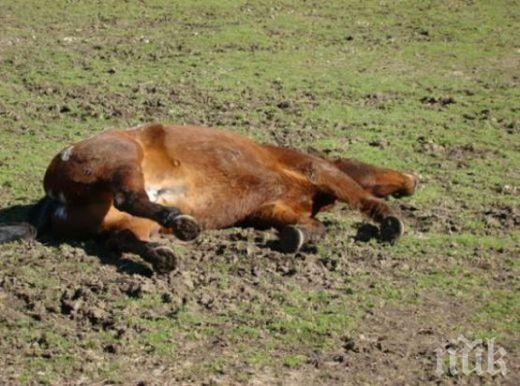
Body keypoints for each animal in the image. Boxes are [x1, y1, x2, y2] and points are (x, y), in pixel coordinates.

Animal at [0, 123, 418, 272]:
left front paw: (296, 238)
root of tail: (52, 195)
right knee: (127, 195)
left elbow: (307, 226)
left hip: (121, 222)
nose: (413, 179)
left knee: (122, 239)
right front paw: (390, 222)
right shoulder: (318, 172)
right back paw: (181, 223)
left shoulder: (272, 208)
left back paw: (162, 257)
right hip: (120, 159)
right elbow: (360, 195)